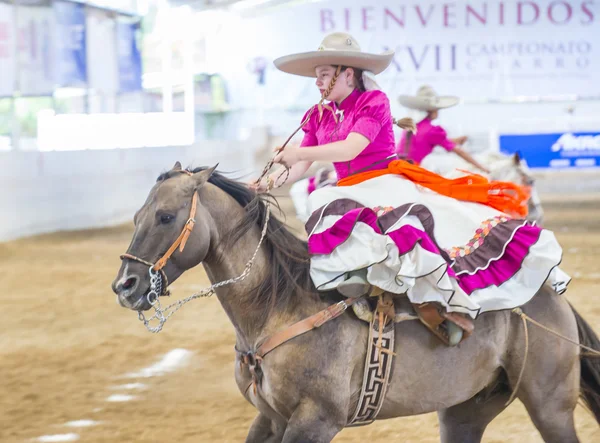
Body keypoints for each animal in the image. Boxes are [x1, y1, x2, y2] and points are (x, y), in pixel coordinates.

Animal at [112, 164, 600, 443]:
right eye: (136, 216)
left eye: (166, 216)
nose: (125, 286)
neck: (279, 307)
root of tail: (551, 302)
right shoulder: (269, 419)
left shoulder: (315, 421)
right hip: (466, 410)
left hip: (550, 406)